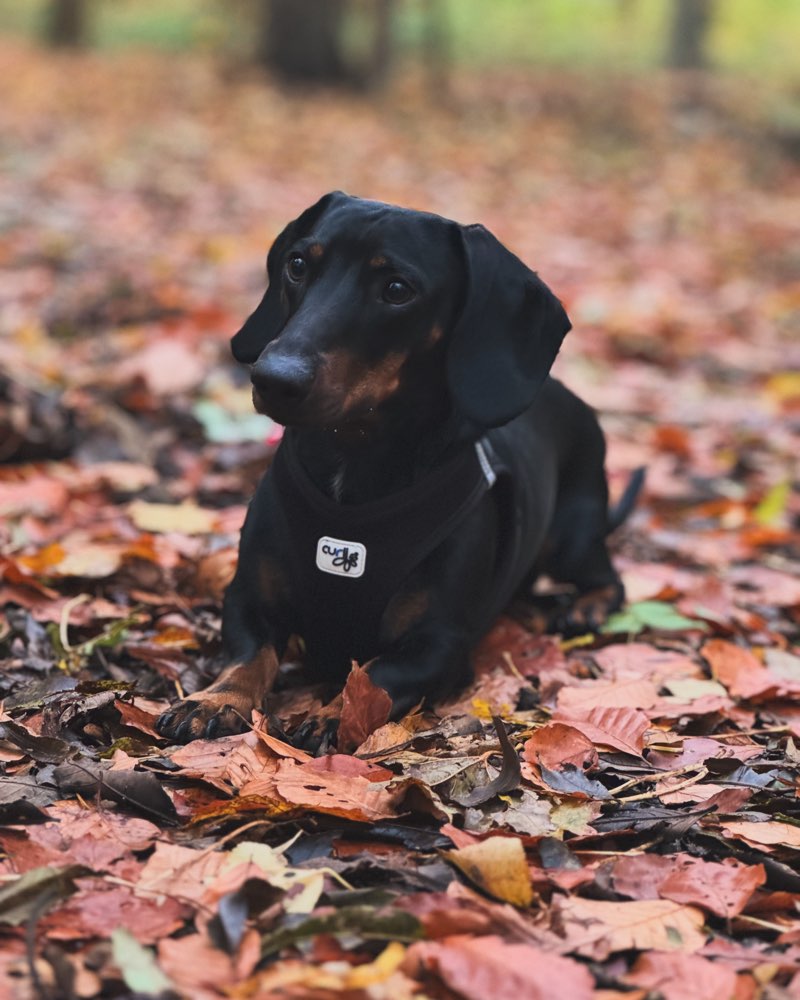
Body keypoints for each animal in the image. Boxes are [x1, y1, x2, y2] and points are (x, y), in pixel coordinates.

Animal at [158, 191, 636, 748]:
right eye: (297, 264)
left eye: (397, 289)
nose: (273, 379)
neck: (352, 464)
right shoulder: (246, 600)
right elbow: (249, 654)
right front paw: (215, 699)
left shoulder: (437, 644)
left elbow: (377, 676)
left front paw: (335, 713)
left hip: (574, 534)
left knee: (607, 577)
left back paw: (587, 605)